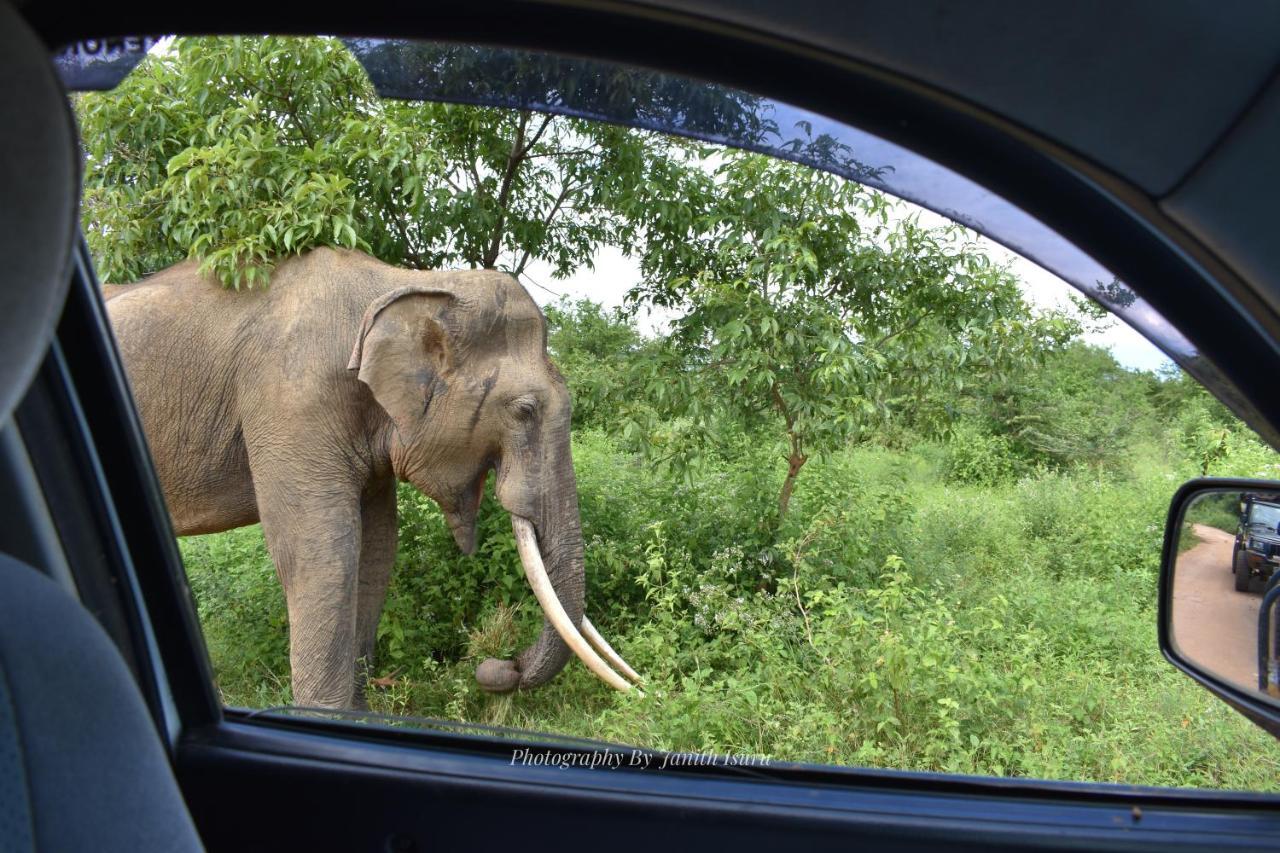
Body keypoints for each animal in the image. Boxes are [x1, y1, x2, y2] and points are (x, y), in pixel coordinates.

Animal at [102, 249, 640, 706]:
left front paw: (360, 715)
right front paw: (327, 719)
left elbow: (378, 545)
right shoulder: (291, 400)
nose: (497, 667)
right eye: (524, 411)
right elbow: (324, 547)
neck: (404, 284)